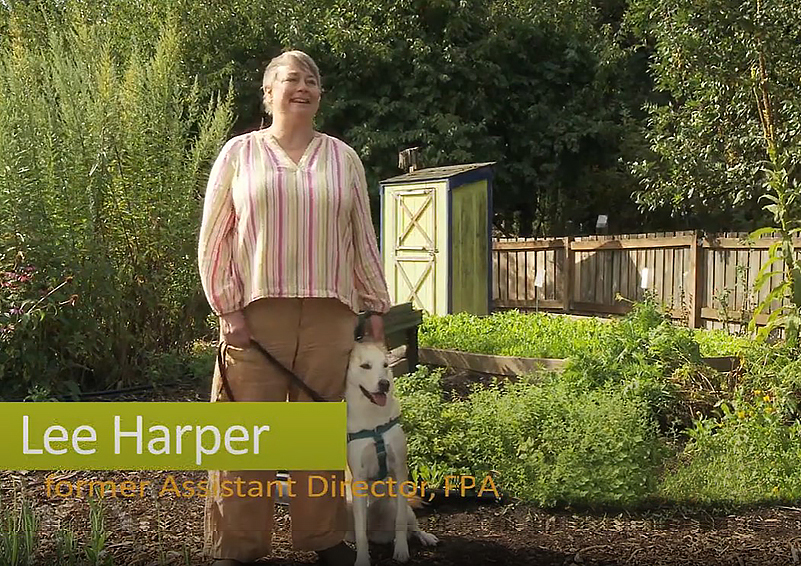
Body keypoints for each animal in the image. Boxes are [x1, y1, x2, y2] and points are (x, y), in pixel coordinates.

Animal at [344, 342, 438, 566]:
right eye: (365, 366)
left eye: (385, 365)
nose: (385, 383)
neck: (374, 423)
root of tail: (377, 533)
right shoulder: (358, 478)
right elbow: (360, 533)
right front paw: (362, 559)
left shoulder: (400, 469)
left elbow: (401, 523)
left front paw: (401, 551)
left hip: (399, 506)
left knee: (412, 526)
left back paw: (425, 537)